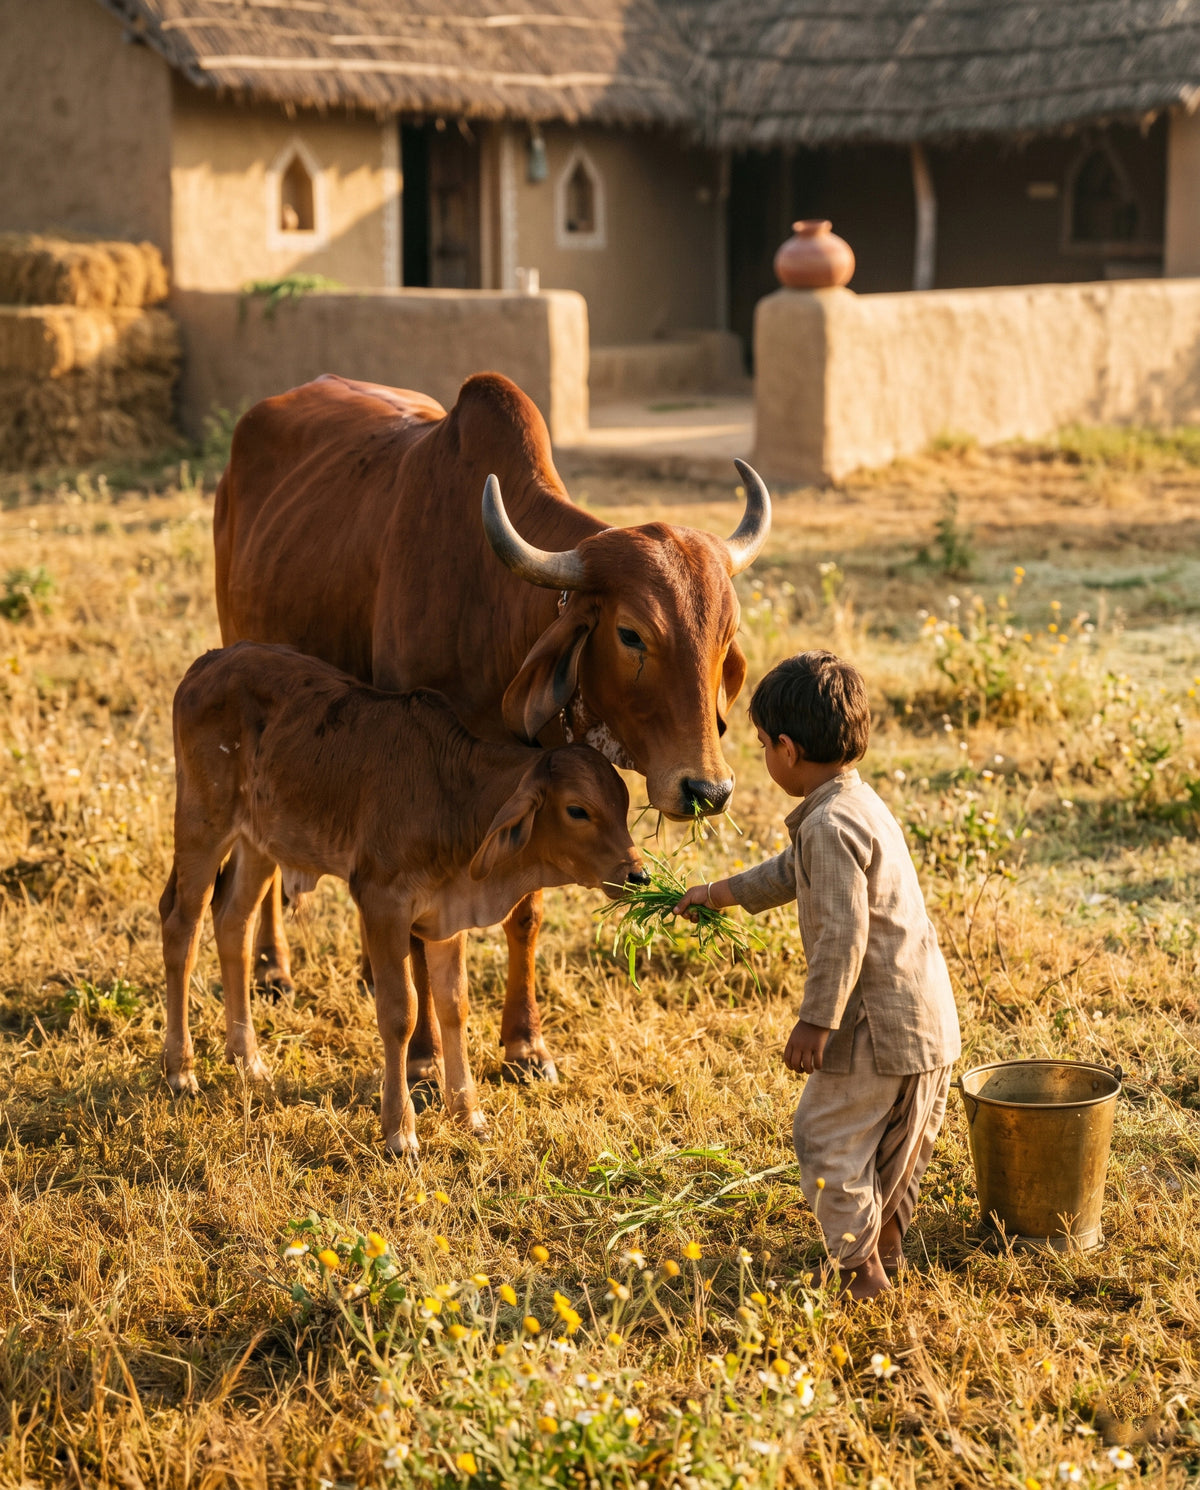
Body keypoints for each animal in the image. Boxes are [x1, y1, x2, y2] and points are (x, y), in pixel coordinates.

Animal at [159, 641, 646, 1153]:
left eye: (623, 804)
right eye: (578, 810)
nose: (636, 873)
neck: (452, 794)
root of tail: (210, 661)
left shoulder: (447, 913)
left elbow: (454, 1005)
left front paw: (469, 1114)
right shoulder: (382, 904)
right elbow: (401, 1012)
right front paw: (400, 1130)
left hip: (259, 842)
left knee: (233, 921)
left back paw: (248, 1062)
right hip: (202, 822)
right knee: (181, 928)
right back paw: (180, 1071)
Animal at [214, 371, 770, 1085]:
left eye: (726, 632)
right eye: (630, 634)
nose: (708, 791)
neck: (489, 601)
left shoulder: (543, 786)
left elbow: (523, 912)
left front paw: (525, 1045)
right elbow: (423, 935)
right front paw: (424, 1059)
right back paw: (272, 967)